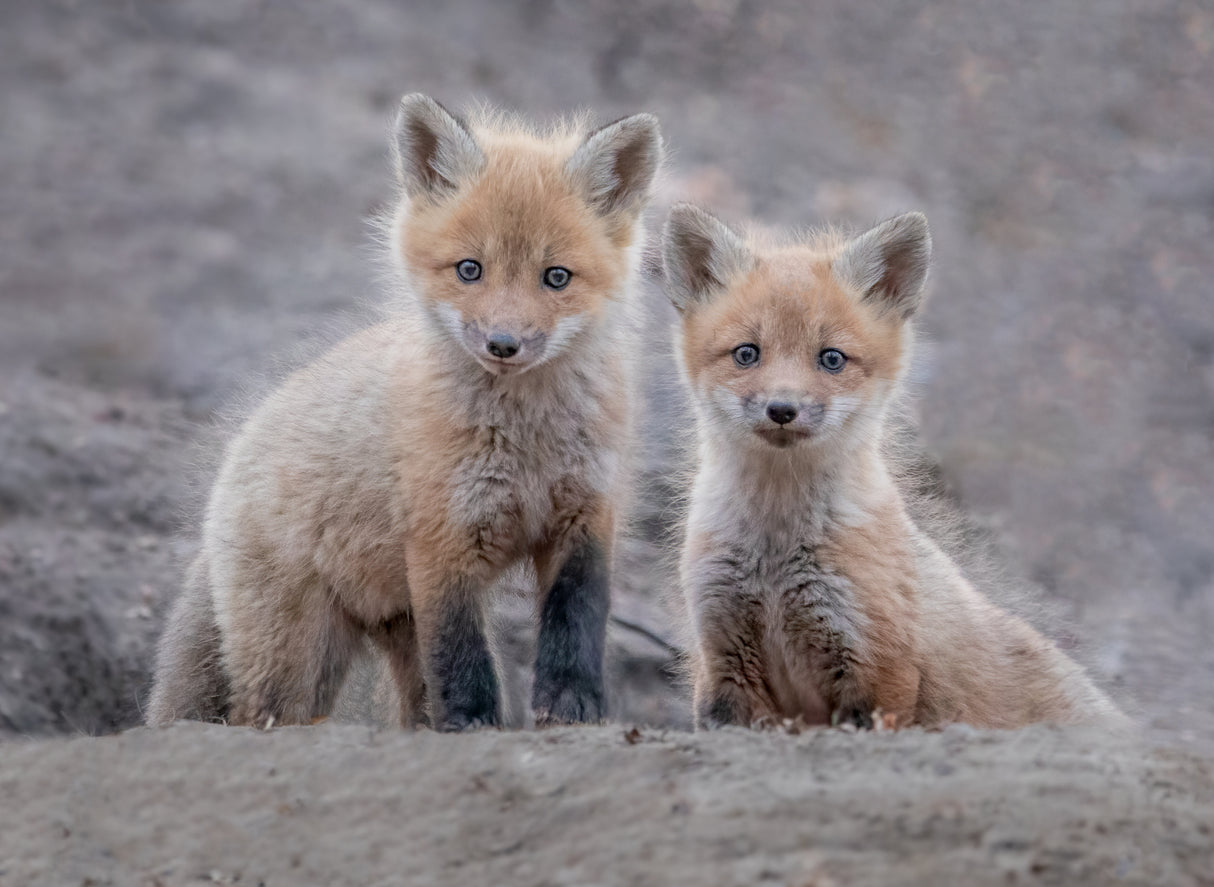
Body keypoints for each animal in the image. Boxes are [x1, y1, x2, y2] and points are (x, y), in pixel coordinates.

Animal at [146, 94, 663, 731]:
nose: (503, 344)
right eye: (469, 269)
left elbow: (578, 623)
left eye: (557, 277)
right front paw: (473, 723)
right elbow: (463, 657)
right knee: (265, 714)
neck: (527, 440)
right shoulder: (441, 537)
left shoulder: (586, 516)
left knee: (412, 702)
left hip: (393, 626)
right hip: (297, 658)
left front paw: (575, 707)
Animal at [661, 203, 1128, 731]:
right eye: (746, 353)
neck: (774, 554)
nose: (782, 409)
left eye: (831, 359)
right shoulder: (722, 659)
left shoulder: (876, 670)